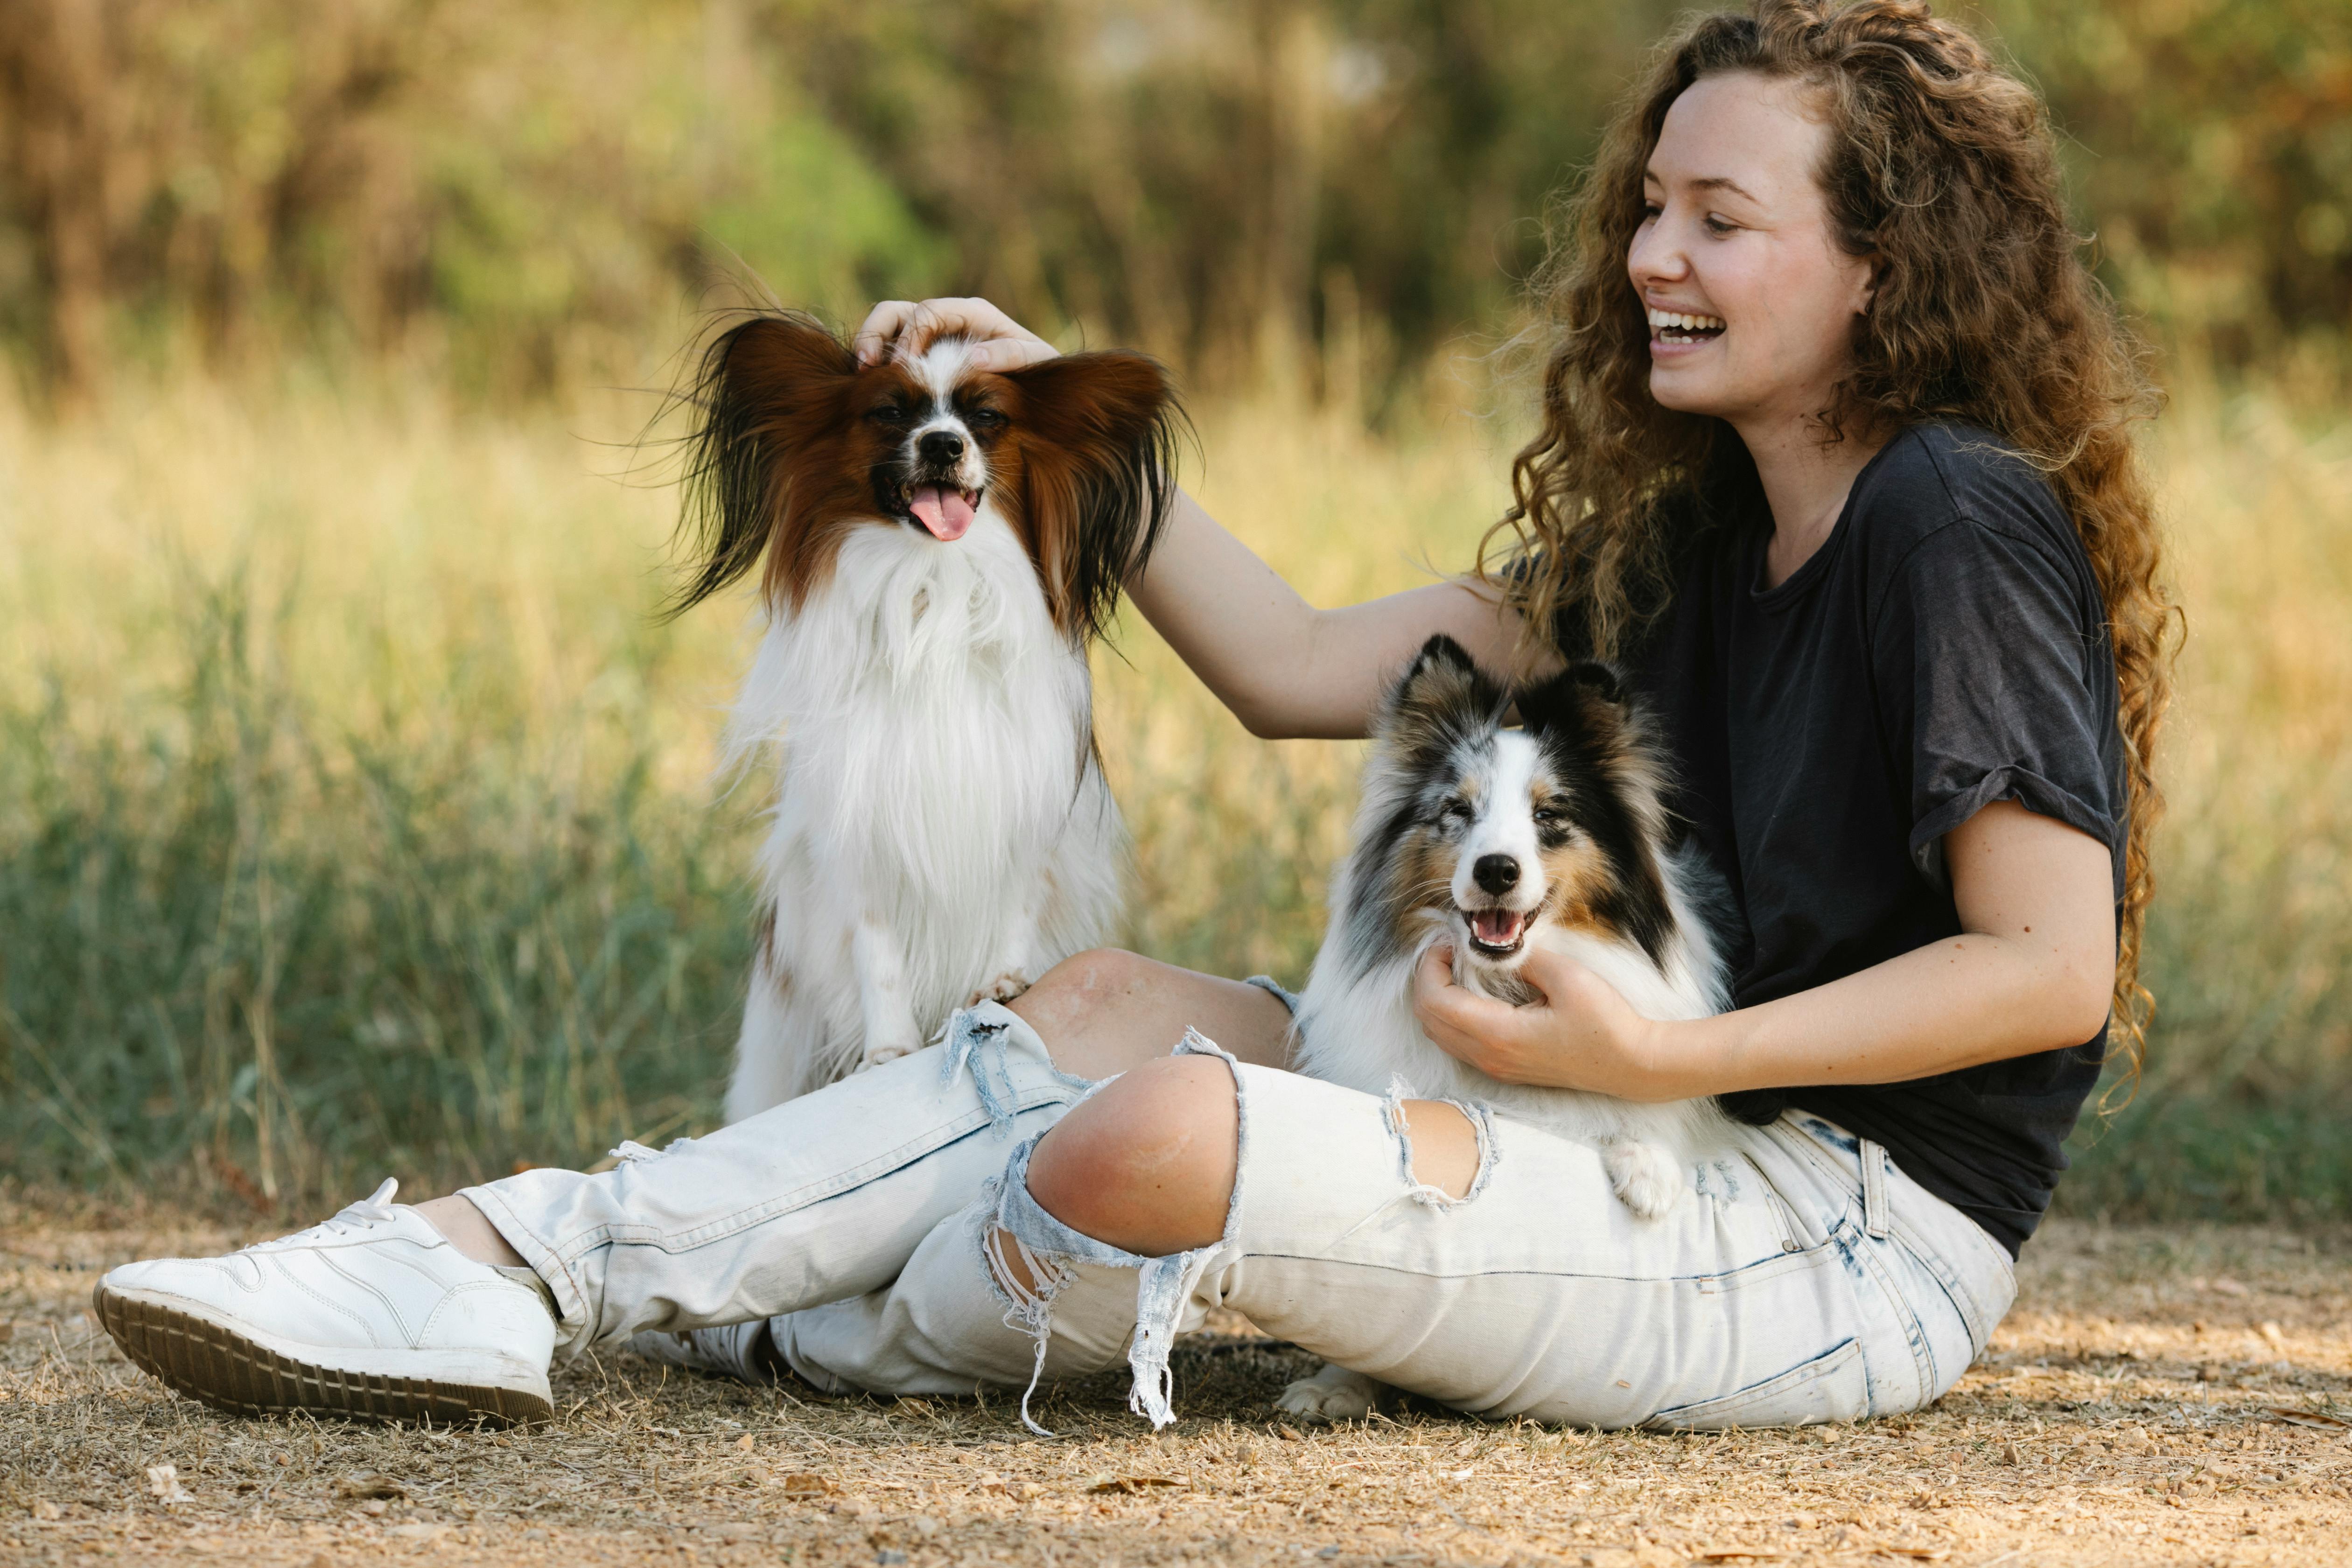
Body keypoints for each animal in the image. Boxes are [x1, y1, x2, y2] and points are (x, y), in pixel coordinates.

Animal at [677, 310, 1195, 1114]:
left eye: (987, 419)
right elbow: (877, 947)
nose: (944, 444)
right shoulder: (858, 824)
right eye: (890, 413)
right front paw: (886, 1050)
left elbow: (1013, 903)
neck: (933, 584)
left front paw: (1004, 982)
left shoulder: (1023, 804)